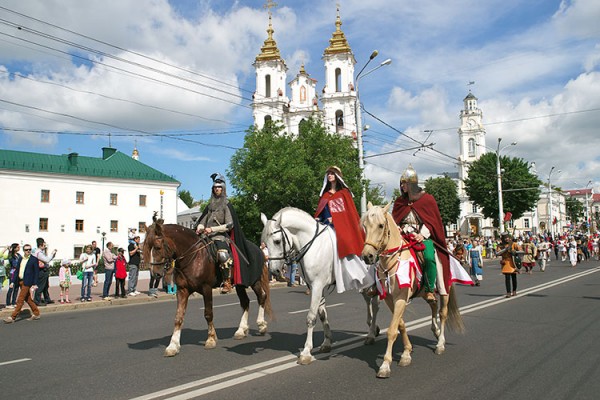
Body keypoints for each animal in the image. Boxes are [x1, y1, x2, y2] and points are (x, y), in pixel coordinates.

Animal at [144, 214, 270, 354]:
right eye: (148, 247)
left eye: (157, 247)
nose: (155, 274)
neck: (193, 256)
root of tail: (258, 249)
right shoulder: (182, 290)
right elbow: (178, 317)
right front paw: (173, 346)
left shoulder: (206, 288)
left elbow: (208, 314)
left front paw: (210, 339)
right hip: (240, 285)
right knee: (245, 302)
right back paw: (241, 330)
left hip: (254, 281)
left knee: (261, 297)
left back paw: (261, 325)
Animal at [258, 206, 380, 366]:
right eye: (264, 242)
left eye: (277, 241)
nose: (274, 271)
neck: (313, 245)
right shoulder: (315, 287)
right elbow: (322, 315)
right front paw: (327, 343)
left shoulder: (317, 286)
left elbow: (311, 317)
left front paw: (306, 352)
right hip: (363, 282)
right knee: (368, 301)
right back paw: (373, 328)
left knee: (375, 305)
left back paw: (371, 334)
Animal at [358, 203, 466, 378]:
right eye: (365, 226)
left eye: (381, 225)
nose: (367, 256)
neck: (392, 261)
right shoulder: (390, 299)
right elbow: (400, 325)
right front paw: (406, 353)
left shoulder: (401, 298)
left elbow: (392, 330)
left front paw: (385, 365)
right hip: (425, 292)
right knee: (433, 304)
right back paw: (435, 331)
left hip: (445, 289)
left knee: (442, 313)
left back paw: (440, 343)